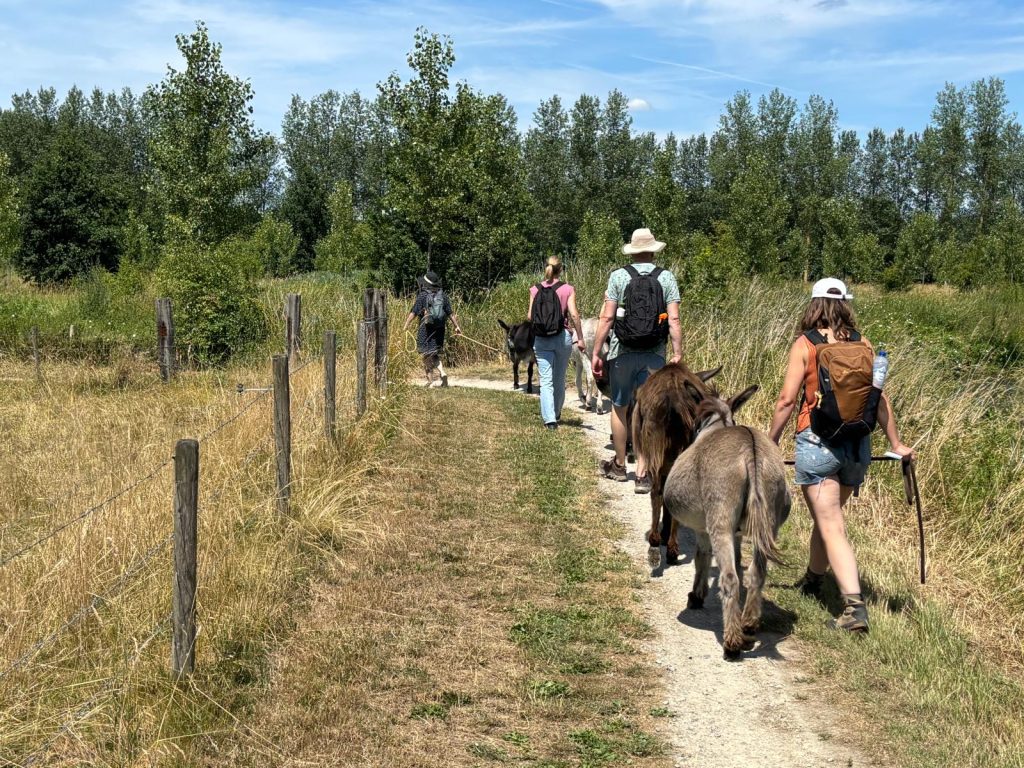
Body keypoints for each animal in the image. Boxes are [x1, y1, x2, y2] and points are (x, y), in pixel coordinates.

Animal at [662, 384, 791, 659]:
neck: (717, 424)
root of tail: (750, 450)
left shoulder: (704, 529)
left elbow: (701, 558)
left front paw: (696, 595)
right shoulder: (739, 532)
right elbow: (738, 561)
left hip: (719, 519)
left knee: (730, 578)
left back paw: (732, 643)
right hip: (769, 520)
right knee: (756, 573)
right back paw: (749, 624)